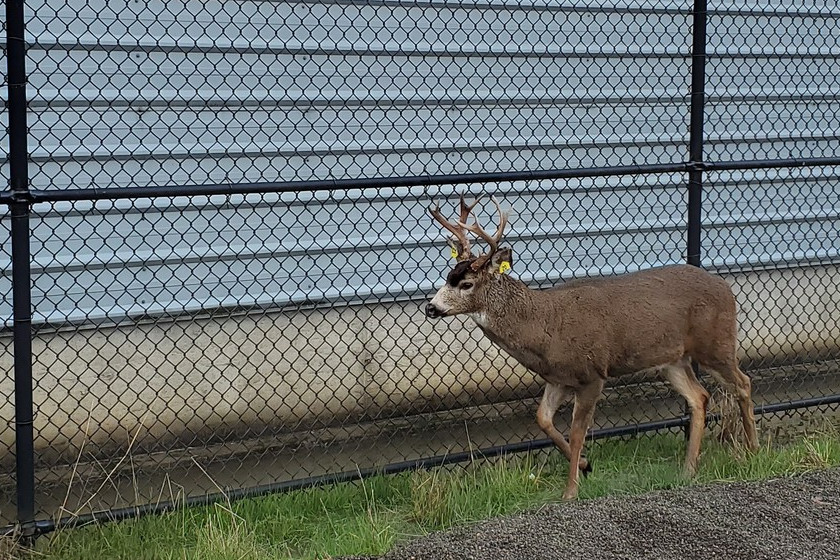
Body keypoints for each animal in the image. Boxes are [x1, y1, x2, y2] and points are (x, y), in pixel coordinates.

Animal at [424, 196, 756, 498]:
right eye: (447, 276)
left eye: (466, 284)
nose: (431, 307)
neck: (544, 327)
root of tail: (725, 286)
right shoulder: (558, 378)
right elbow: (543, 419)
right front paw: (585, 465)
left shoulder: (593, 374)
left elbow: (577, 431)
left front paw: (571, 491)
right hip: (672, 359)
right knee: (699, 396)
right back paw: (688, 468)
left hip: (715, 343)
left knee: (743, 382)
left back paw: (752, 449)